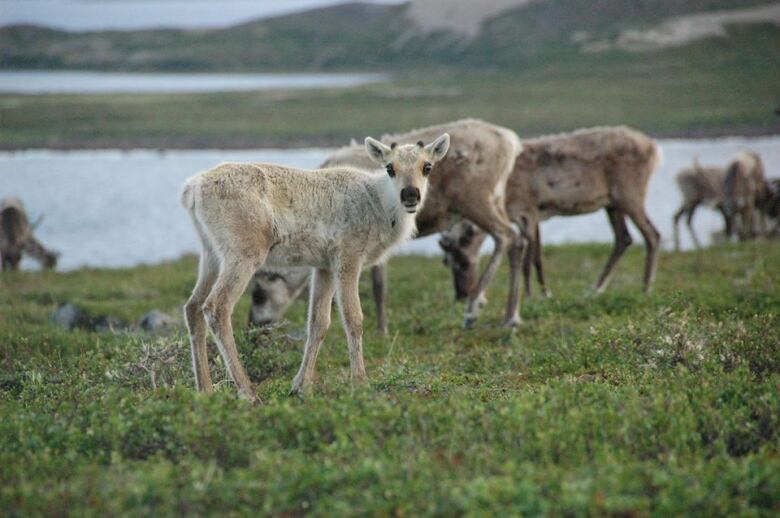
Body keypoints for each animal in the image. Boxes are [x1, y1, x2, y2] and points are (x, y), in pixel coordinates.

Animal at [183, 134, 450, 402]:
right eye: (390, 168)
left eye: (427, 167)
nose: (410, 194)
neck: (378, 203)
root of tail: (192, 188)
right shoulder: (348, 257)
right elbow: (353, 318)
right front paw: (360, 382)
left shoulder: (324, 266)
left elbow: (318, 323)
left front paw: (301, 386)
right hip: (244, 254)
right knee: (216, 306)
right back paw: (248, 393)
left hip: (211, 254)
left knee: (193, 306)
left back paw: (204, 390)